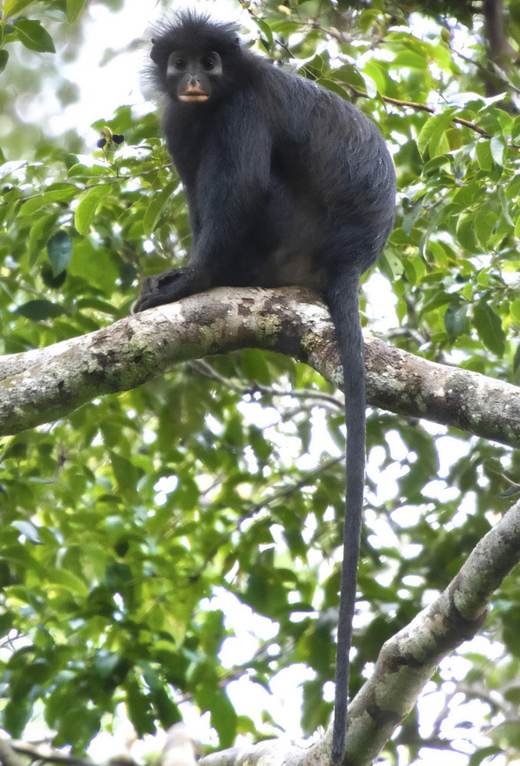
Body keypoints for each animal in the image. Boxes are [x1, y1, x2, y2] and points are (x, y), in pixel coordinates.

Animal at [134, 12, 396, 765]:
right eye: (183, 62)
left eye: (212, 62)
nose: (194, 79)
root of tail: (347, 260)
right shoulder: (178, 119)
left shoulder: (241, 109)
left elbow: (239, 188)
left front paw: (188, 282)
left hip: (288, 232)